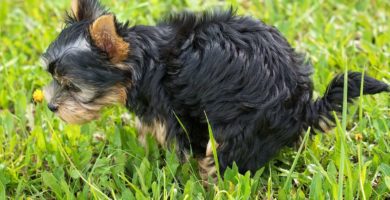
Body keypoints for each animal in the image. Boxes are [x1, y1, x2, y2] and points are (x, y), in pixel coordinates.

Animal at [44, 0, 388, 181]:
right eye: (52, 77)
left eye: (71, 86)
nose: (50, 106)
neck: (144, 60)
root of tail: (302, 105)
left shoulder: (174, 110)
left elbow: (180, 143)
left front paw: (178, 173)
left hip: (243, 126)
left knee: (227, 157)